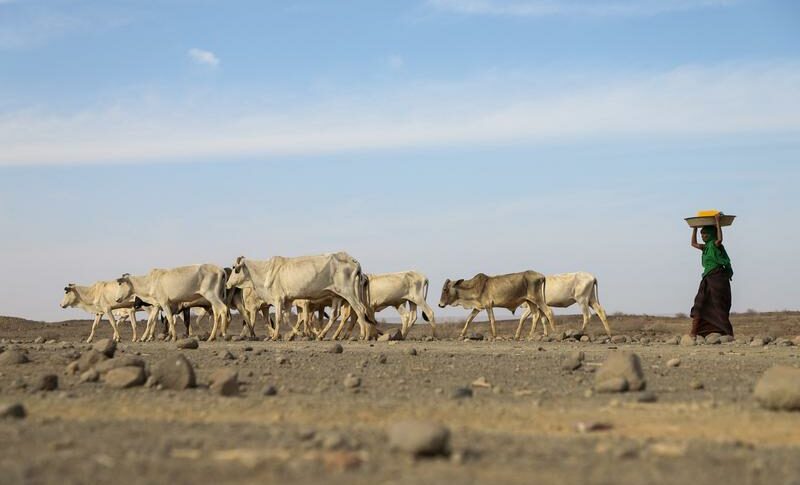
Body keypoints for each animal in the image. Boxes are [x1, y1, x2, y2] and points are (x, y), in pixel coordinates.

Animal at [225, 252, 378, 341]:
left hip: (349, 293)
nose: (227, 284)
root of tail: (353, 260)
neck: (264, 271)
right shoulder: (288, 300)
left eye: (233, 268)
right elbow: (288, 318)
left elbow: (279, 318)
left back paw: (364, 335)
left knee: (359, 310)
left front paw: (275, 336)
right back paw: (321, 335)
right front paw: (297, 334)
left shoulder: (278, 299)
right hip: (337, 296)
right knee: (336, 315)